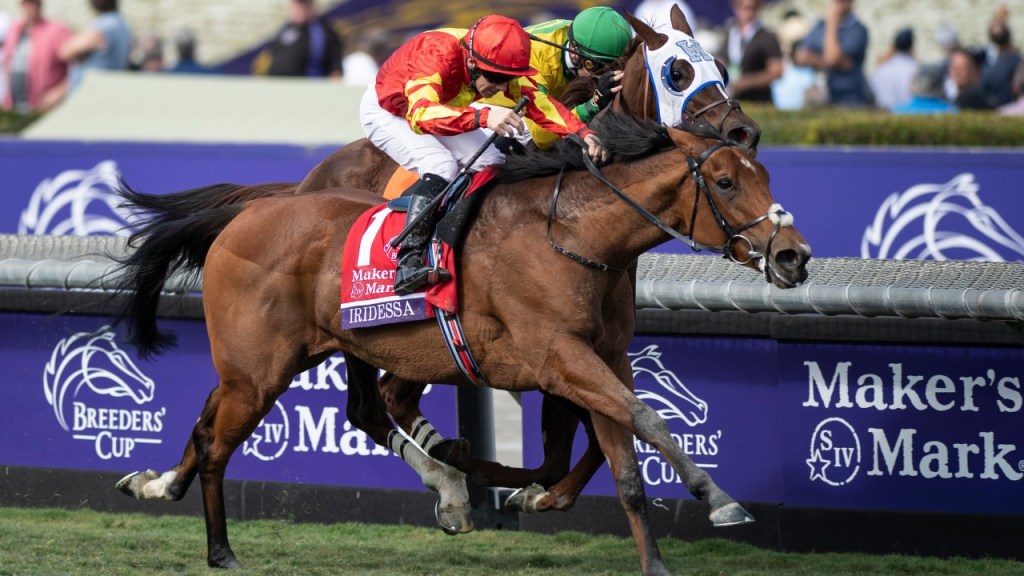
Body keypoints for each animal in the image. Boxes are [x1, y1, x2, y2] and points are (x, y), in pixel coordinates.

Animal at [109, 112, 810, 573]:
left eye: (766, 176)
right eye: (725, 182)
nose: (794, 256)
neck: (576, 237)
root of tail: (252, 211)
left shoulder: (604, 358)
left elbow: (623, 463)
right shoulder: (560, 358)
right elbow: (642, 422)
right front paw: (720, 501)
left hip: (288, 358)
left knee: (238, 419)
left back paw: (156, 484)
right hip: (261, 370)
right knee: (222, 442)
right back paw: (221, 550)